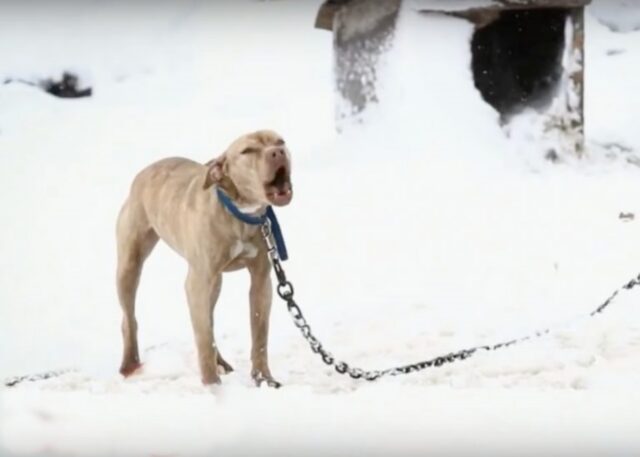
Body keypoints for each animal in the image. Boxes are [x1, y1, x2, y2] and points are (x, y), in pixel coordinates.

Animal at [115, 130, 292, 386]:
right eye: (248, 151)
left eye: (280, 142)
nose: (278, 152)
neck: (239, 213)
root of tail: (144, 172)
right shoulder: (197, 282)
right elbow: (203, 338)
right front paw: (211, 385)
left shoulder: (261, 282)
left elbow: (259, 335)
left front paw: (263, 379)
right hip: (129, 266)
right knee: (130, 319)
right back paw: (129, 364)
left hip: (214, 283)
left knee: (209, 320)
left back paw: (221, 362)